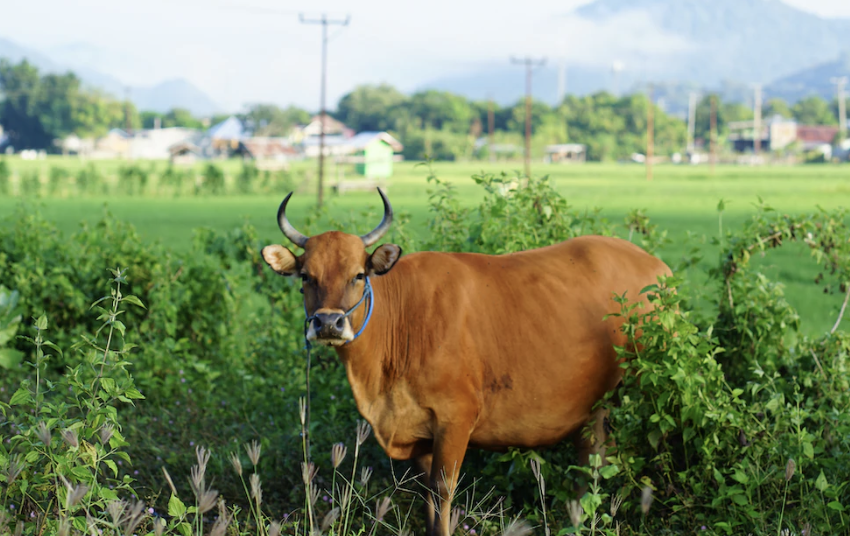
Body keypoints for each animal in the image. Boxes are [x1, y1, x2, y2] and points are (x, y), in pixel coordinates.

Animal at [262, 188, 672, 536]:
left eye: (358, 275)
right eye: (306, 276)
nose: (329, 323)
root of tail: (656, 266)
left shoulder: (456, 417)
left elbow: (443, 490)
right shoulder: (419, 433)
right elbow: (426, 497)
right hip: (595, 411)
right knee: (592, 463)